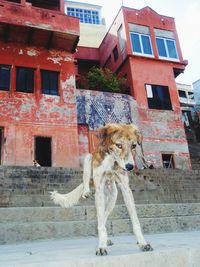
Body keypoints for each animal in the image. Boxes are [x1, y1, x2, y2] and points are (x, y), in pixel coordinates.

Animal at [50, 124, 153, 256]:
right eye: (119, 145)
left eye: (134, 146)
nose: (130, 166)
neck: (112, 161)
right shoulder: (99, 187)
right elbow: (101, 224)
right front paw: (101, 247)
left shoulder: (125, 188)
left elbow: (135, 221)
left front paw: (143, 243)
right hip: (89, 161)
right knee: (86, 178)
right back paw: (86, 192)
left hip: (112, 199)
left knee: (103, 217)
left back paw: (106, 239)